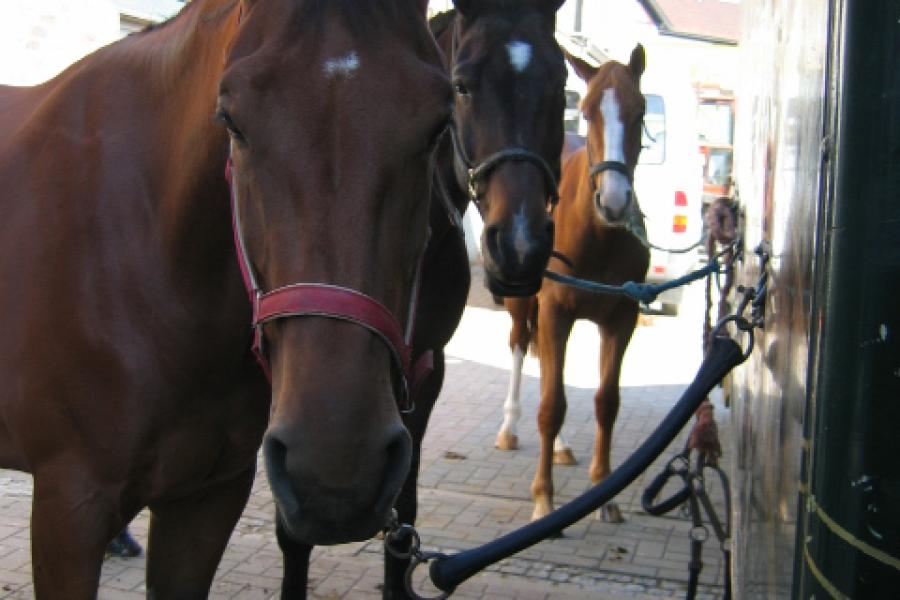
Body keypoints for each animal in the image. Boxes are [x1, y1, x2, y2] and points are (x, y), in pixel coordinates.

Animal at [500, 47, 648, 524]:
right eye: (586, 112)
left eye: (640, 113)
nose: (614, 202)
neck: (599, 234)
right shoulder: (554, 311)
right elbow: (551, 406)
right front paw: (543, 498)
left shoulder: (622, 318)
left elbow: (606, 402)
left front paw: (605, 492)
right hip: (523, 303)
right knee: (519, 346)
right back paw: (508, 427)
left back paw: (562, 448)